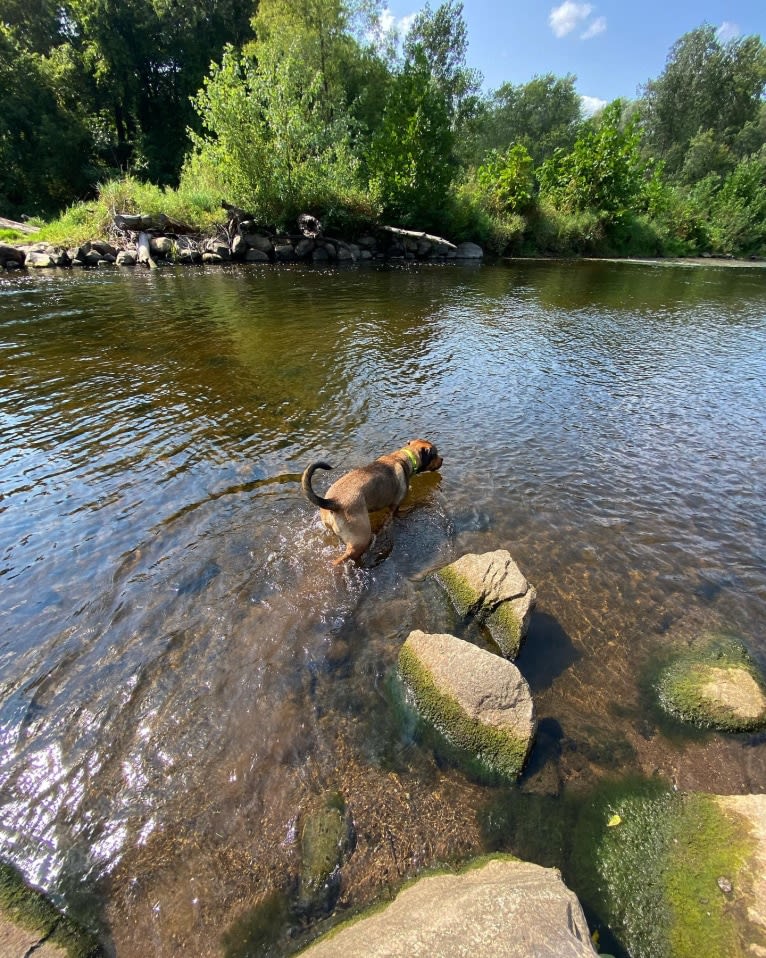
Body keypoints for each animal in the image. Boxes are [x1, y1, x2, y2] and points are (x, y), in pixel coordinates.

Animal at [302, 444, 444, 568]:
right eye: (435, 454)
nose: (442, 459)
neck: (403, 457)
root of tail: (334, 501)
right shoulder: (395, 506)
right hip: (361, 537)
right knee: (347, 556)